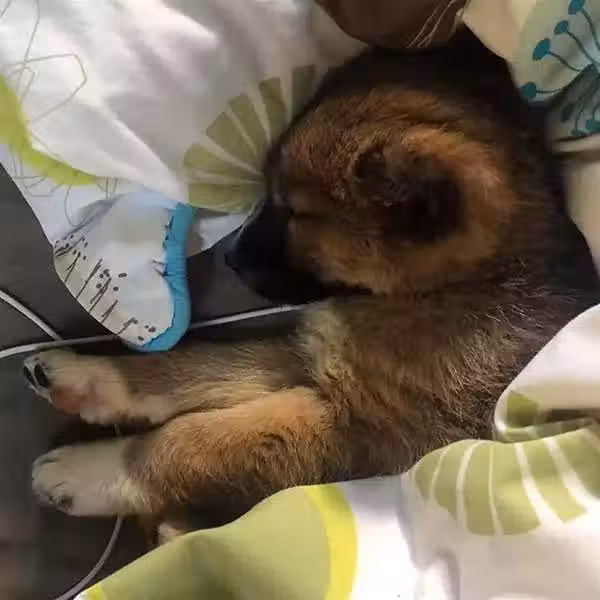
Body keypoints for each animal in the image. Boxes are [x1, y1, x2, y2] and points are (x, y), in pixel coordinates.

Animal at [26, 34, 598, 526]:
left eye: (295, 211)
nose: (230, 258)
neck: (465, 284)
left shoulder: (370, 429)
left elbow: (192, 441)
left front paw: (93, 471)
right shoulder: (312, 359)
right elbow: (202, 367)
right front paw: (92, 379)